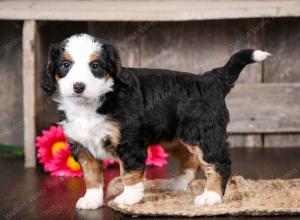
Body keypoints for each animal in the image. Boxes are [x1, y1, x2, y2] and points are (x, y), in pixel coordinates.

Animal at [41, 33, 270, 209]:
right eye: (65, 65)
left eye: (95, 66)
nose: (78, 86)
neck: (91, 105)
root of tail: (209, 79)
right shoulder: (82, 145)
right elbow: (91, 176)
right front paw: (91, 200)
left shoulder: (130, 142)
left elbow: (130, 173)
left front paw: (129, 198)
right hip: (175, 138)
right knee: (190, 160)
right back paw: (176, 185)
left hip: (203, 133)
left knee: (219, 163)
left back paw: (210, 197)